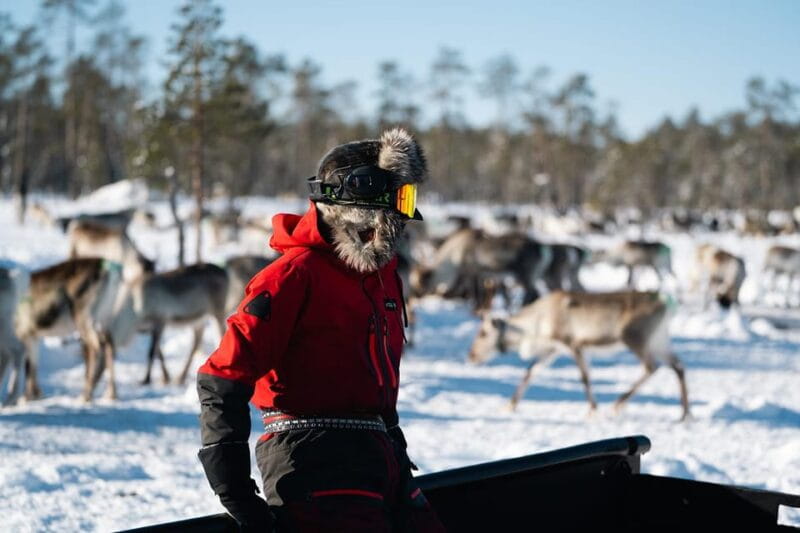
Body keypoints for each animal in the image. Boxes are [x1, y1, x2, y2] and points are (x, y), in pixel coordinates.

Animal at [468, 290, 690, 421]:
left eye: (483, 333)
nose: (471, 356)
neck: (534, 328)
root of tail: (667, 304)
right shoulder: (553, 349)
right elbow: (530, 371)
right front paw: (510, 405)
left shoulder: (573, 344)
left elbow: (584, 377)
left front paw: (592, 409)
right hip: (659, 339)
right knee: (678, 365)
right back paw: (686, 413)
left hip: (635, 337)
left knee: (652, 366)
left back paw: (618, 404)